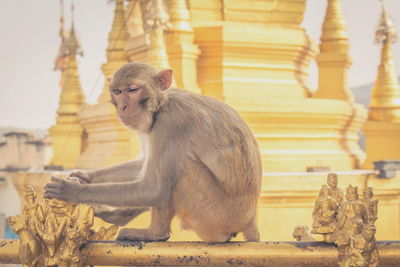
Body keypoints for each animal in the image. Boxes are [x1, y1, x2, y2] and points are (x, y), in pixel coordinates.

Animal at [44, 62, 262, 243]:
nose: (123, 107)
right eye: (117, 91)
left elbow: (155, 189)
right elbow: (143, 165)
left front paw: (72, 190)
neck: (162, 104)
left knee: (177, 172)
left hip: (214, 216)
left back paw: (155, 233)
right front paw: (85, 175)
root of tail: (249, 219)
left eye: (133, 90)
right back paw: (116, 217)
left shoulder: (170, 124)